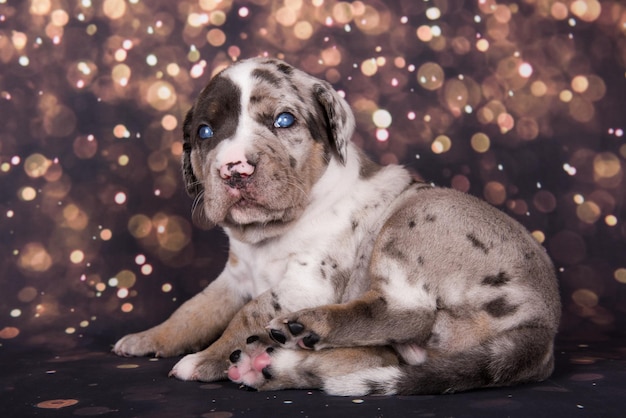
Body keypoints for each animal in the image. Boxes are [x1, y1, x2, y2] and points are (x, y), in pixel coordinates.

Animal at [113, 56, 560, 396]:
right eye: (204, 132)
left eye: (283, 120)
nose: (234, 169)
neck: (269, 236)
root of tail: (542, 328)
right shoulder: (234, 278)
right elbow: (193, 310)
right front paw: (150, 338)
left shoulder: (306, 285)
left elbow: (248, 314)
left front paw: (205, 358)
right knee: (371, 358)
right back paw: (269, 365)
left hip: (416, 217)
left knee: (408, 311)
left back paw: (305, 328)